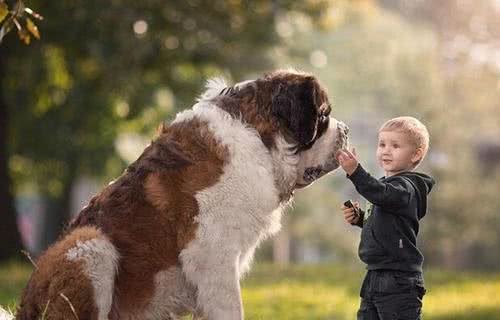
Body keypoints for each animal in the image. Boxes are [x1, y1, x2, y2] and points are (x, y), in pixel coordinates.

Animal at [13, 69, 348, 320]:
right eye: (323, 117)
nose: (345, 130)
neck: (258, 137)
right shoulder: (212, 254)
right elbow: (231, 307)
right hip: (89, 243)